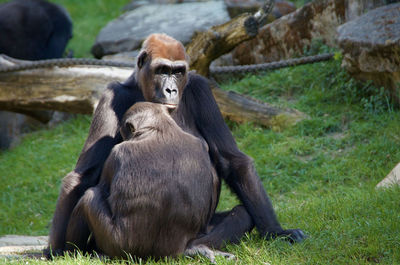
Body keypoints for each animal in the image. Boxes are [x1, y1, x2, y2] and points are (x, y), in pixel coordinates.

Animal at [66, 101, 233, 260]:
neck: (160, 129)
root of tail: (165, 255)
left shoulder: (115, 155)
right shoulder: (202, 145)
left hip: (117, 246)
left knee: (88, 198)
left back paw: (74, 251)